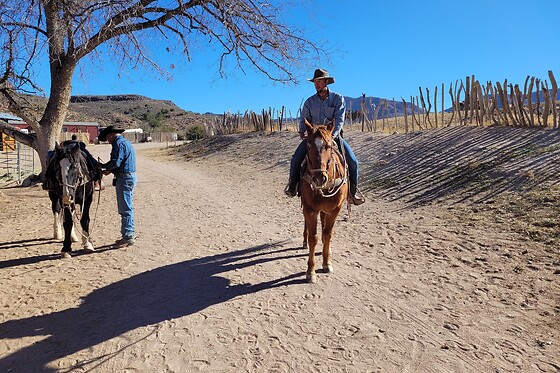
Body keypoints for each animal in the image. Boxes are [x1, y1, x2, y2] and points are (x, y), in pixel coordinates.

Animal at [302, 119, 346, 282]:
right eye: (308, 145)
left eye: (329, 146)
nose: (319, 178)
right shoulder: (309, 209)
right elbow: (313, 238)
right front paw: (311, 271)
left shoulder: (335, 210)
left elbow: (328, 234)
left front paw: (327, 263)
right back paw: (304, 241)